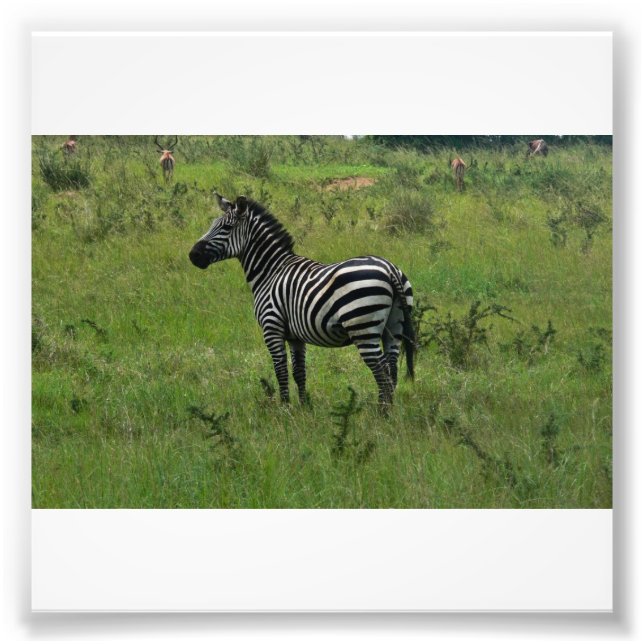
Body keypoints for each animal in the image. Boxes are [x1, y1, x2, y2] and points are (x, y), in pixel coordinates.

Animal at [189, 193, 415, 408]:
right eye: (212, 225)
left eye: (226, 227)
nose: (193, 255)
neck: (270, 271)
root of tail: (389, 269)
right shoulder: (295, 337)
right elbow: (299, 372)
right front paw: (304, 407)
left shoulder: (272, 328)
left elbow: (280, 370)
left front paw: (285, 408)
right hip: (394, 327)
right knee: (392, 370)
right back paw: (388, 412)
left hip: (363, 327)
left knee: (383, 373)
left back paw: (381, 413)